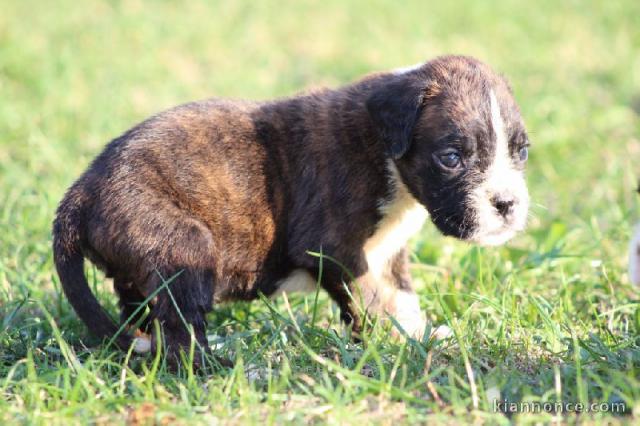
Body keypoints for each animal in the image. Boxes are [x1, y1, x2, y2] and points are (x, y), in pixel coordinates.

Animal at [52, 55, 528, 364]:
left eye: (521, 152)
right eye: (451, 157)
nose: (507, 205)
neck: (385, 152)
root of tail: (82, 192)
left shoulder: (387, 253)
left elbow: (401, 297)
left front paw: (422, 336)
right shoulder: (338, 252)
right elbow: (371, 300)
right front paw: (395, 347)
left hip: (138, 270)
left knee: (142, 316)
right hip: (184, 247)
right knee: (178, 333)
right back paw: (219, 369)